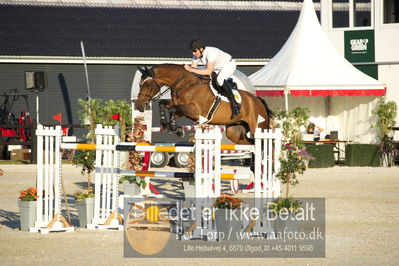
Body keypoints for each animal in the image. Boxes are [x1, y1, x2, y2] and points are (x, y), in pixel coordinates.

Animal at [136, 63, 274, 144]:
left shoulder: (195, 112)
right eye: (139, 84)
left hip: (259, 128)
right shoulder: (181, 110)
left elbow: (172, 109)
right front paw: (167, 125)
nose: (139, 105)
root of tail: (257, 101)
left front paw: (176, 128)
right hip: (235, 131)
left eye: (147, 85)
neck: (185, 85)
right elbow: (163, 104)